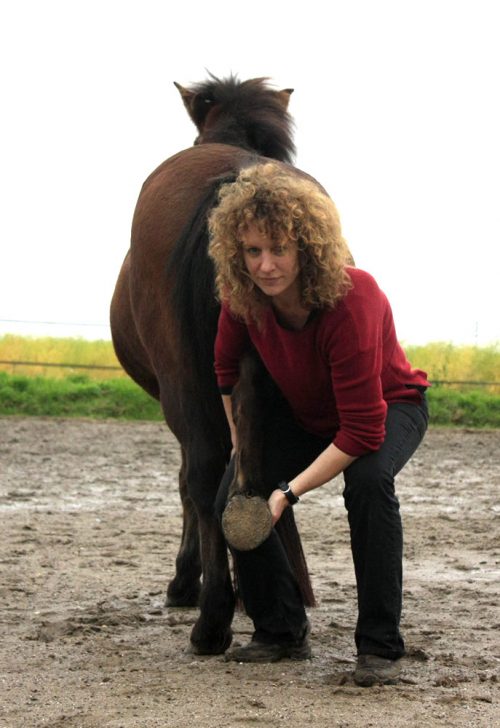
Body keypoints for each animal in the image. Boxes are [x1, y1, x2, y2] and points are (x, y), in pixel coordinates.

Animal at [110, 75, 314, 656]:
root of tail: (238, 176)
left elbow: (187, 482)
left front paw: (186, 582)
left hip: (185, 387)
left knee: (200, 475)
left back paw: (212, 620)